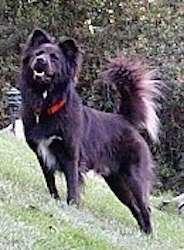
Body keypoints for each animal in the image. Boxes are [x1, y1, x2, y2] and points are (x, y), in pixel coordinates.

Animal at [18, 29, 161, 234]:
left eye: (54, 58)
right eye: (38, 53)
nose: (40, 61)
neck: (47, 105)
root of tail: (126, 120)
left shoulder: (71, 156)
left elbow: (72, 185)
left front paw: (71, 207)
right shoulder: (41, 153)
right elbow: (50, 181)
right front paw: (55, 200)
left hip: (134, 177)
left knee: (145, 207)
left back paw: (149, 233)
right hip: (117, 182)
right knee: (135, 207)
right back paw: (142, 234)